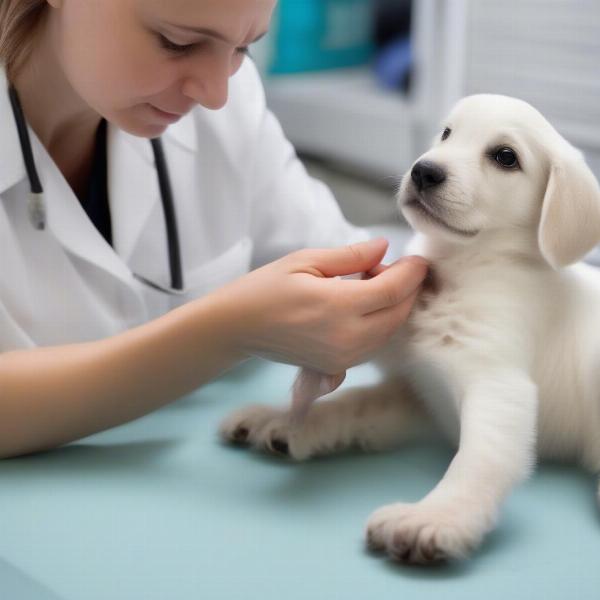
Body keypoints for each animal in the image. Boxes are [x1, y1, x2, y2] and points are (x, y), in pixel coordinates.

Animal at [219, 96, 600, 564]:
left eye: (505, 157)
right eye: (447, 134)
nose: (424, 171)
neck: (462, 268)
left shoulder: (498, 386)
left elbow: (477, 461)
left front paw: (435, 518)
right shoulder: (420, 392)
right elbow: (353, 403)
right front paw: (284, 420)